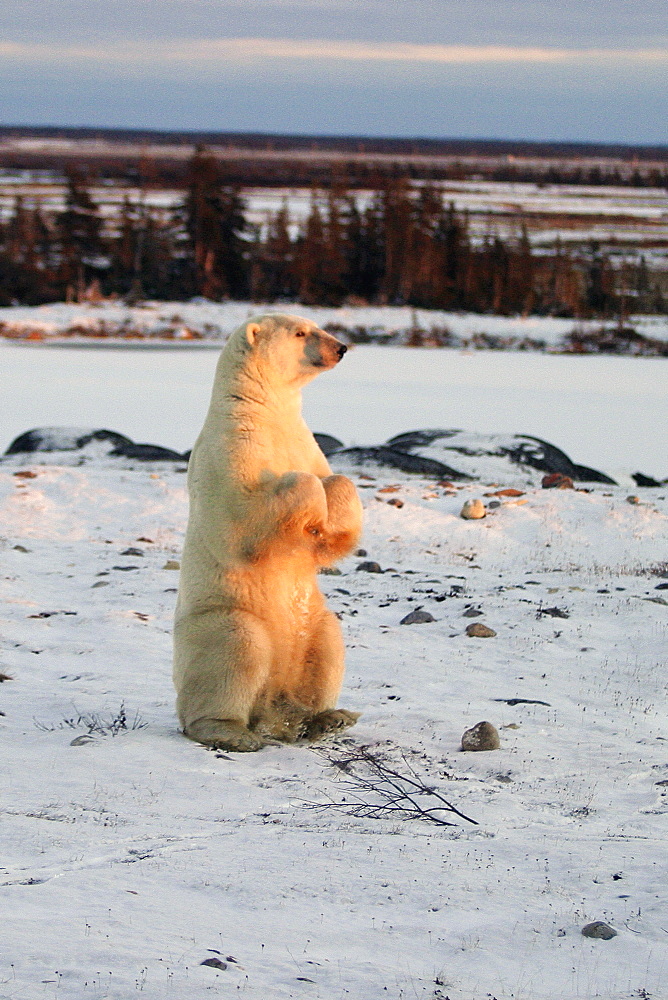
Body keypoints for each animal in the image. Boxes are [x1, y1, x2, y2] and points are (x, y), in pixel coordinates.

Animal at [171, 312, 360, 752]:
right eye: (301, 332)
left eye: (317, 325)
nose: (341, 347)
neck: (265, 409)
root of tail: (270, 710)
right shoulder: (233, 444)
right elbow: (243, 512)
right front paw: (312, 511)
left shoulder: (303, 441)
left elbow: (335, 480)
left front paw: (327, 522)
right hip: (216, 621)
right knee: (237, 648)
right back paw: (231, 732)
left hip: (313, 623)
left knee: (328, 640)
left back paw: (327, 717)